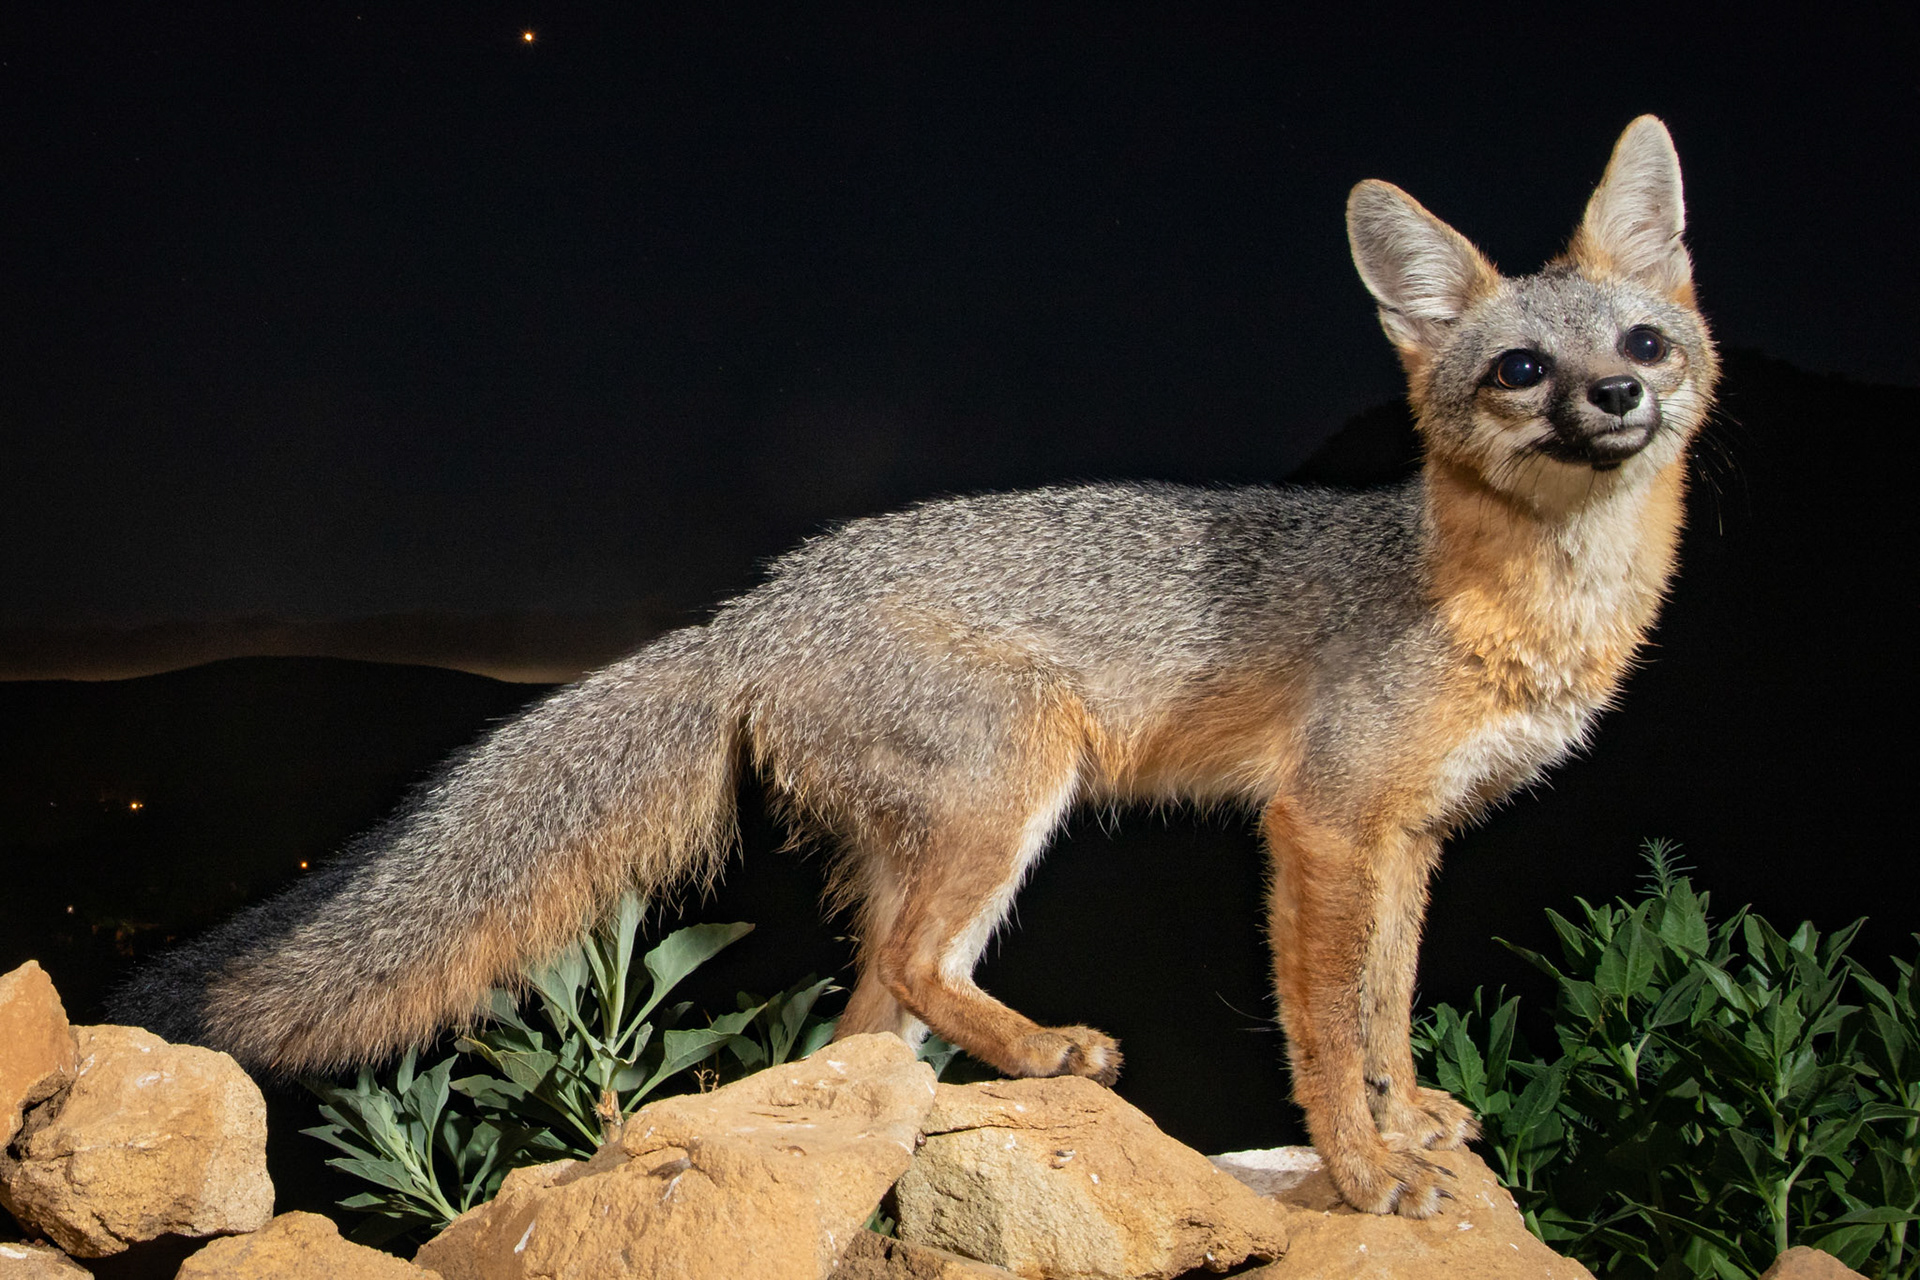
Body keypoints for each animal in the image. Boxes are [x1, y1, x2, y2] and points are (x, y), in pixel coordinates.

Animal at [116, 116, 1715, 1216]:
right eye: (1520, 369)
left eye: (1644, 340)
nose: (1617, 396)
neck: (1507, 603)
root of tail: (756, 606)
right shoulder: (1322, 824)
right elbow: (1327, 1027)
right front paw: (1367, 1169)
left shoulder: (1412, 837)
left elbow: (1385, 1007)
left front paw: (1411, 1116)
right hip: (1013, 793)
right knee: (909, 968)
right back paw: (1047, 1052)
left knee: (859, 1027)